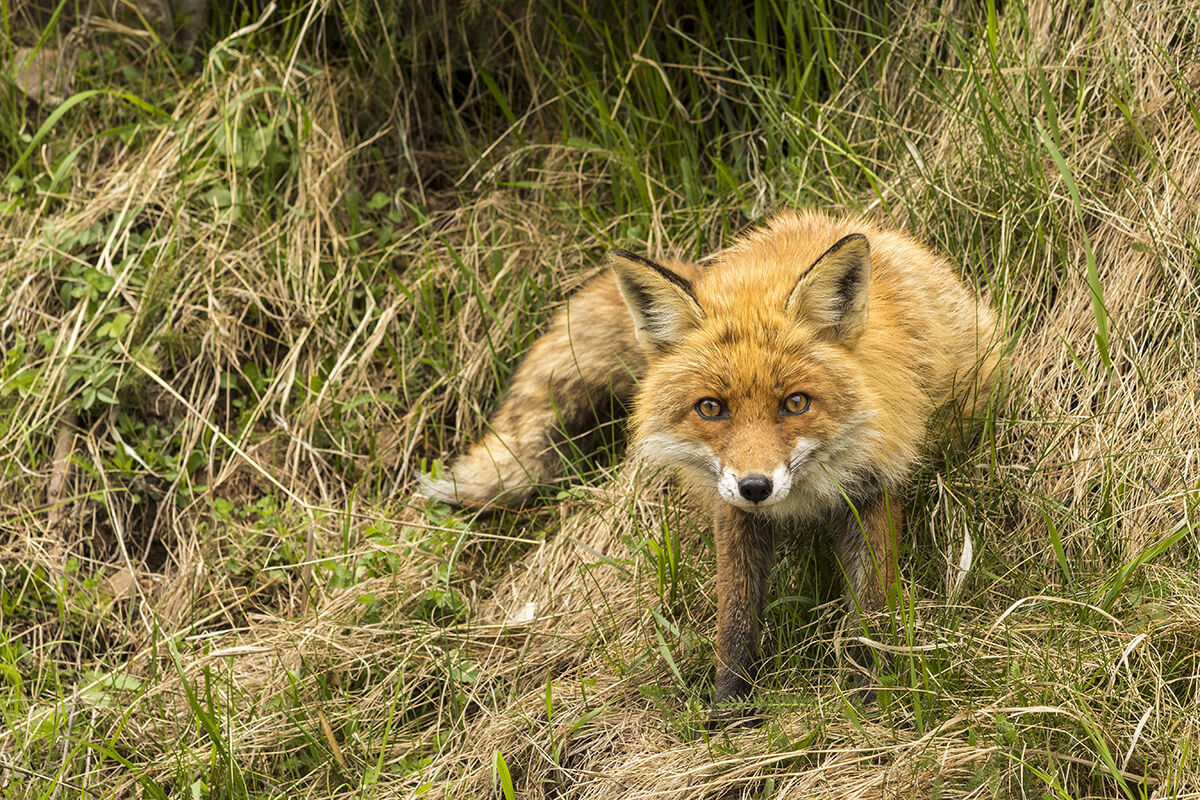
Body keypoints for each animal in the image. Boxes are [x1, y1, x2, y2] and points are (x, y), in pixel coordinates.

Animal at [420, 210, 1001, 719]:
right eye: (711, 408)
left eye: (795, 402)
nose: (756, 486)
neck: (807, 494)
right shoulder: (734, 514)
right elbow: (736, 618)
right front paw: (729, 708)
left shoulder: (873, 487)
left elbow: (870, 613)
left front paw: (866, 698)